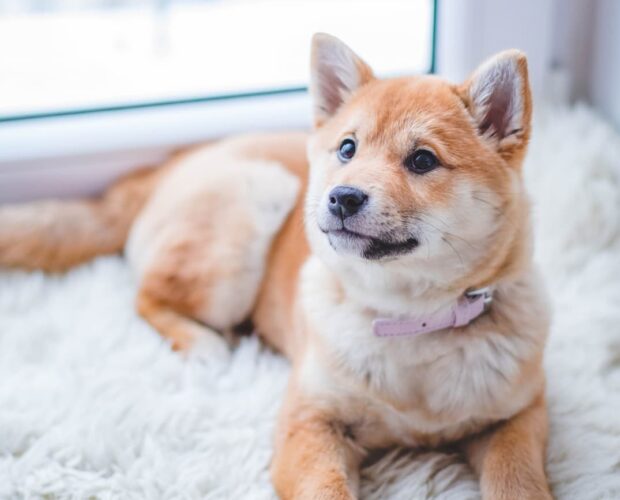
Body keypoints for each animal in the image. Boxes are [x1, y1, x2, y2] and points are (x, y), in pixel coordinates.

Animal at [0, 34, 552, 500]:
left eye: (422, 160)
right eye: (347, 148)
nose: (342, 197)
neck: (410, 321)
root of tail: (171, 164)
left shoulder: (519, 415)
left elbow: (518, 479)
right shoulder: (308, 422)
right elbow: (326, 489)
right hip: (245, 220)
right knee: (148, 296)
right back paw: (204, 345)